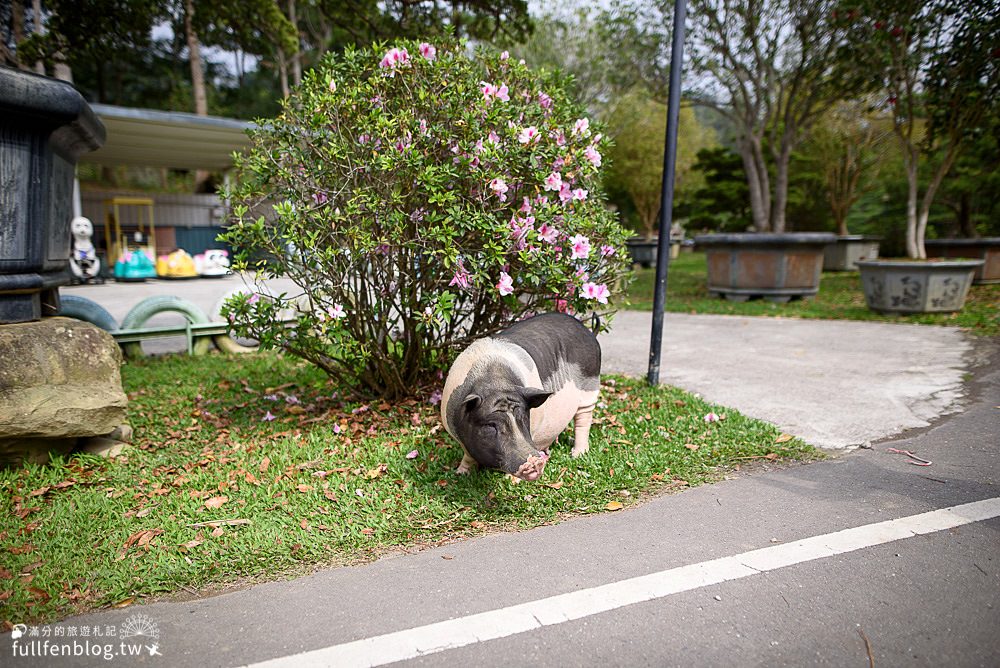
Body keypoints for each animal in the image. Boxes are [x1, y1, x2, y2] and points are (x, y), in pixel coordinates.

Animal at [440, 314, 600, 480]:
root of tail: (589, 332)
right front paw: (461, 473)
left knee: (584, 419)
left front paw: (511, 480)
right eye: (490, 425)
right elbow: (468, 454)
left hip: (590, 385)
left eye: (523, 417)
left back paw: (577, 454)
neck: (496, 382)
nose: (535, 462)